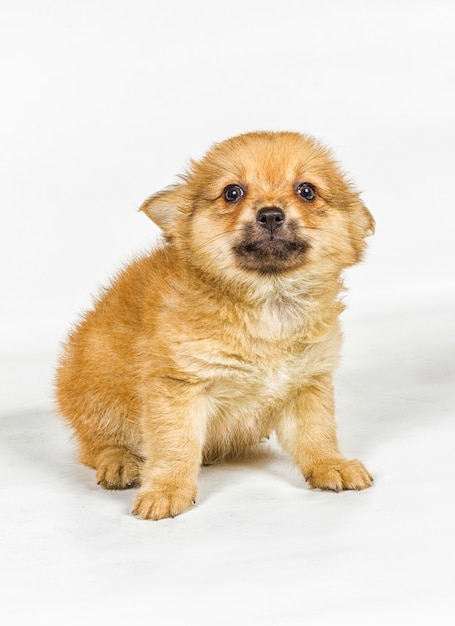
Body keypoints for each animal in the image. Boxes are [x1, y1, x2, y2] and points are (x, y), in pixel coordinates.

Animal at [55, 130, 376, 516]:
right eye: (232, 192)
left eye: (307, 191)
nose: (270, 215)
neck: (270, 304)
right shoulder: (179, 386)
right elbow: (174, 445)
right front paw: (167, 489)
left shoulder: (307, 383)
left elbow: (317, 433)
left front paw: (331, 464)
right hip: (99, 391)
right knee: (99, 443)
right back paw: (119, 462)